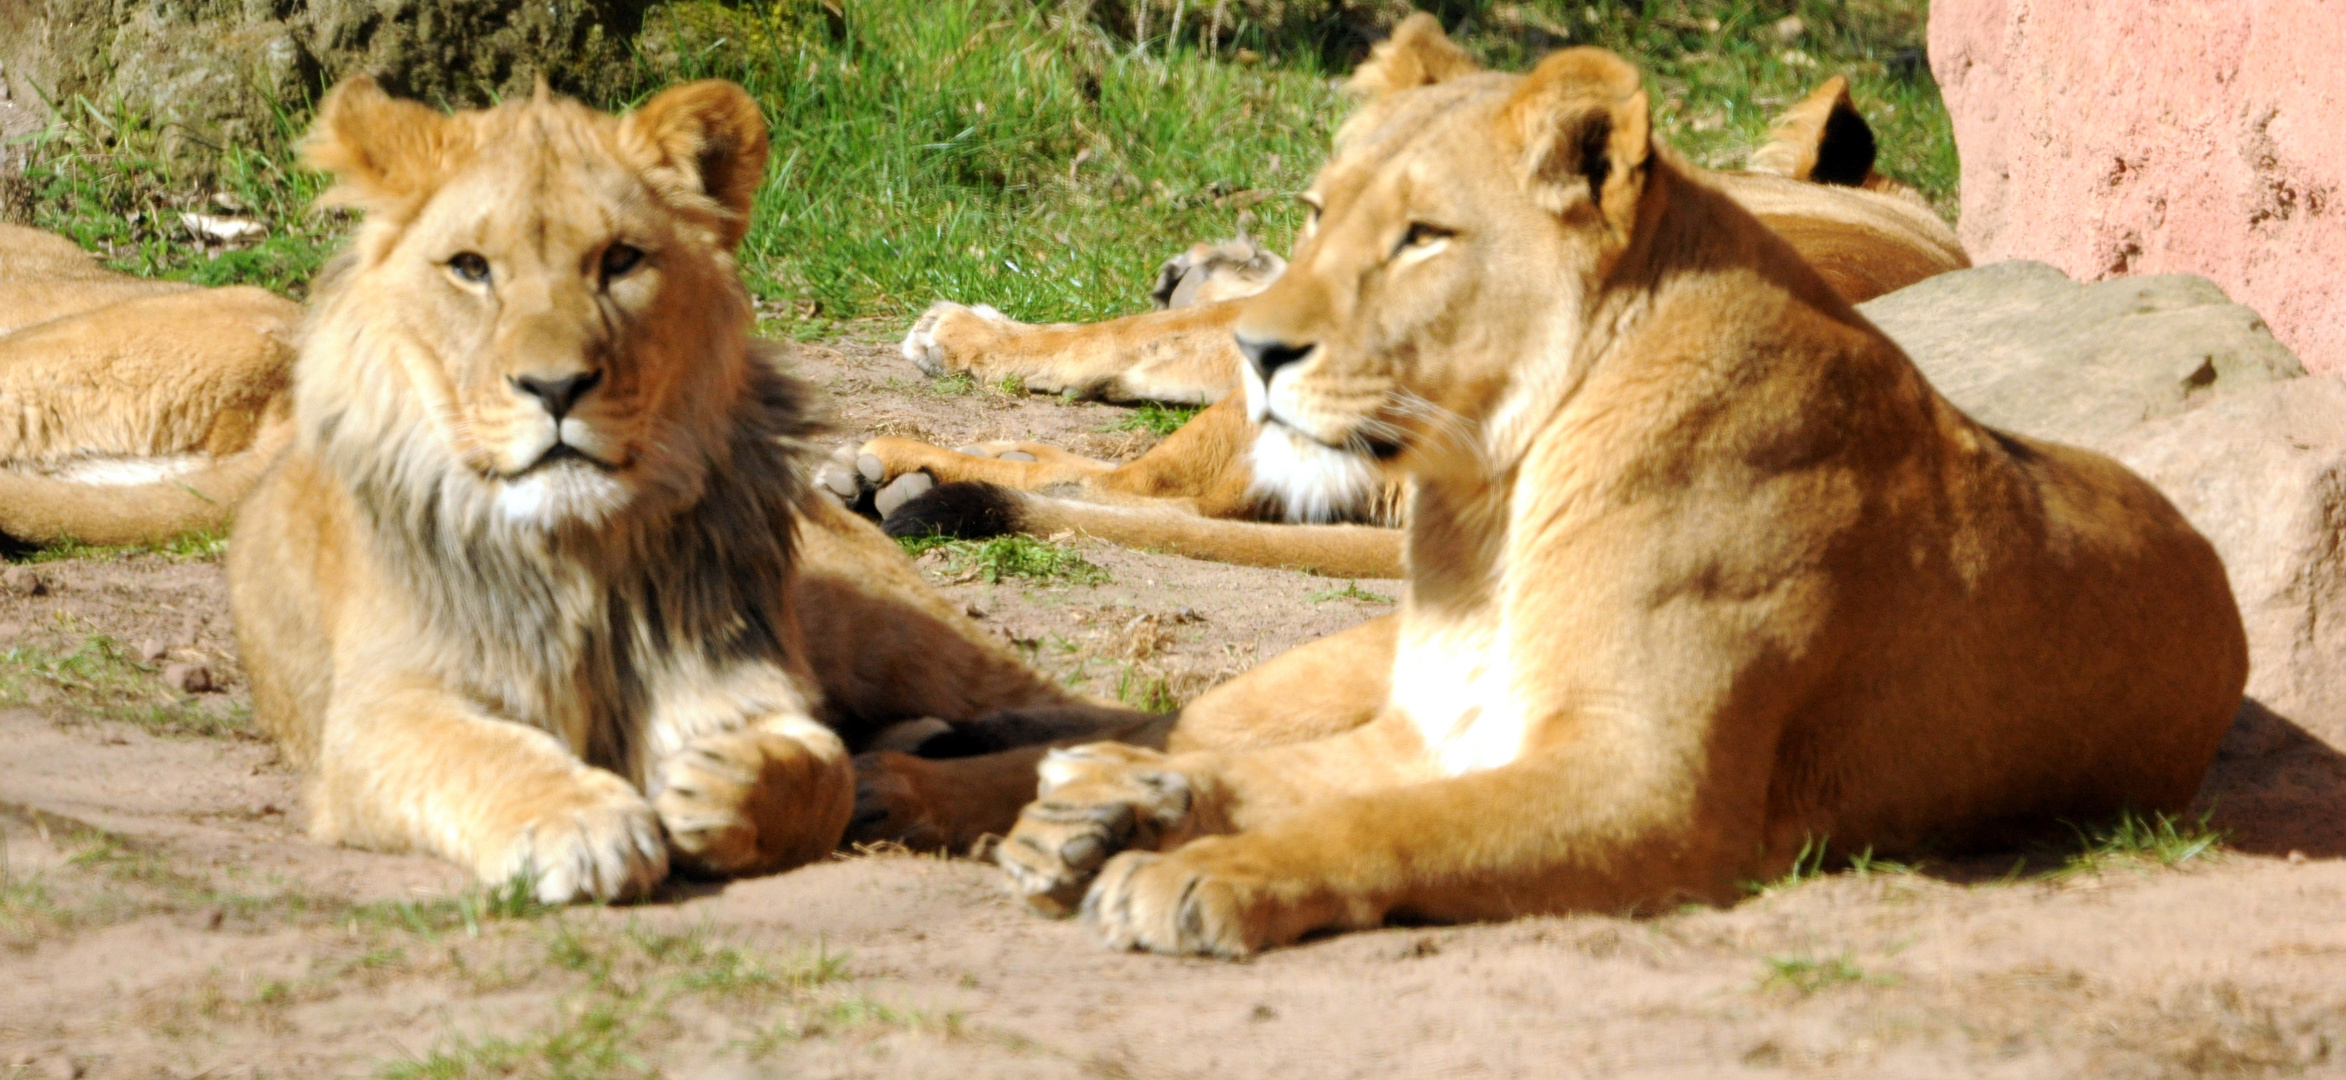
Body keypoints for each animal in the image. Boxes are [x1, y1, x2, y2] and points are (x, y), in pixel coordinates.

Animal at [226, 73, 1144, 901]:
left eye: (621, 261)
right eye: (470, 268)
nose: (555, 387)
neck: (584, 552)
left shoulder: (740, 667)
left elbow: (820, 766)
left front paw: (724, 786)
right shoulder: (378, 712)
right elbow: (478, 754)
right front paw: (579, 824)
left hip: (893, 634)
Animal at [872, 44, 2242, 953]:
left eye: (1418, 236)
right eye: (1317, 212)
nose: (1189, 268)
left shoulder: (1653, 790)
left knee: (1129, 501)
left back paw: (919, 479)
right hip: (1319, 670)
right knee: (1178, 720)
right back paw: (952, 771)